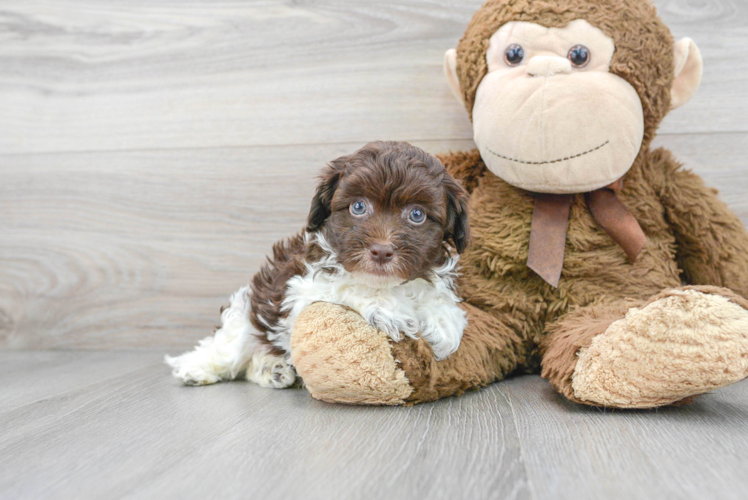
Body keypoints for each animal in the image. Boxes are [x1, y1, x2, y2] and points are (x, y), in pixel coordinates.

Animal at [166, 143, 468, 388]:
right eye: (358, 207)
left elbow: (435, 294)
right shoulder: (298, 287)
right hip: (247, 314)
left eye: (417, 214)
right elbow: (344, 285)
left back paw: (272, 369)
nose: (382, 251)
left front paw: (443, 321)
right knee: (229, 349)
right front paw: (387, 308)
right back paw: (195, 368)